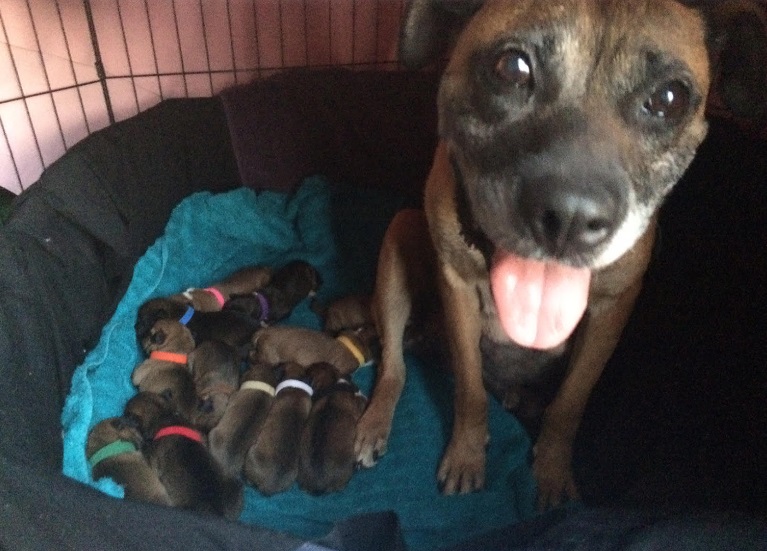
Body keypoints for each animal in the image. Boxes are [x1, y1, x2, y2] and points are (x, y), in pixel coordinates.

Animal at [358, 0, 767, 512]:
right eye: (512, 68)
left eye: (670, 98)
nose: (571, 218)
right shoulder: (457, 288)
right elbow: (469, 390)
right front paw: (467, 455)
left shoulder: (610, 311)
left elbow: (570, 404)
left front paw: (552, 472)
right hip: (401, 233)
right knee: (392, 364)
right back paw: (374, 422)